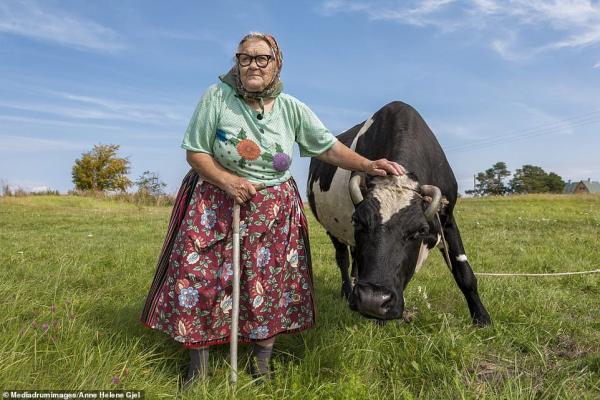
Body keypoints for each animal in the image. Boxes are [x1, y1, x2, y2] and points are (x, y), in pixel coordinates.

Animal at [310, 100, 492, 324]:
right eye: (358, 221)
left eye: (420, 230)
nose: (373, 299)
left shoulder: (448, 218)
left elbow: (464, 272)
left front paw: (482, 318)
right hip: (331, 228)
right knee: (343, 257)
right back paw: (347, 290)